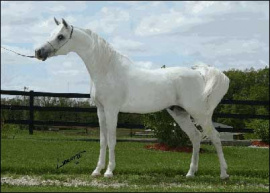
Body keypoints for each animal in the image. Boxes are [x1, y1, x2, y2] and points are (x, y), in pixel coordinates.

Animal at [34, 18, 230, 179]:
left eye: (60, 36)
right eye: (51, 34)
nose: (38, 52)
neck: (108, 69)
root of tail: (199, 73)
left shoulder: (112, 110)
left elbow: (112, 140)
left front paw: (109, 171)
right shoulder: (101, 110)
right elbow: (103, 140)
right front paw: (97, 171)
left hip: (199, 113)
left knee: (215, 137)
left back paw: (223, 174)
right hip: (180, 113)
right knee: (196, 137)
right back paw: (190, 173)